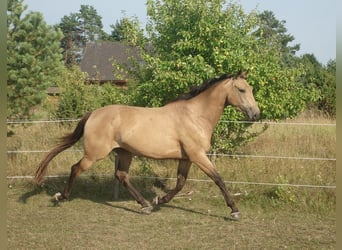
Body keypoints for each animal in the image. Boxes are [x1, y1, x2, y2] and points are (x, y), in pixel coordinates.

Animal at [34, 70, 260, 219]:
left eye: (250, 88)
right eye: (241, 90)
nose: (256, 114)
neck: (195, 116)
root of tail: (94, 114)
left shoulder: (187, 158)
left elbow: (180, 183)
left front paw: (159, 201)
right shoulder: (197, 155)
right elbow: (218, 179)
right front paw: (234, 210)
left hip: (125, 152)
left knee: (121, 175)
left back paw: (144, 205)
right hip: (94, 154)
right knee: (76, 168)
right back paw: (61, 196)